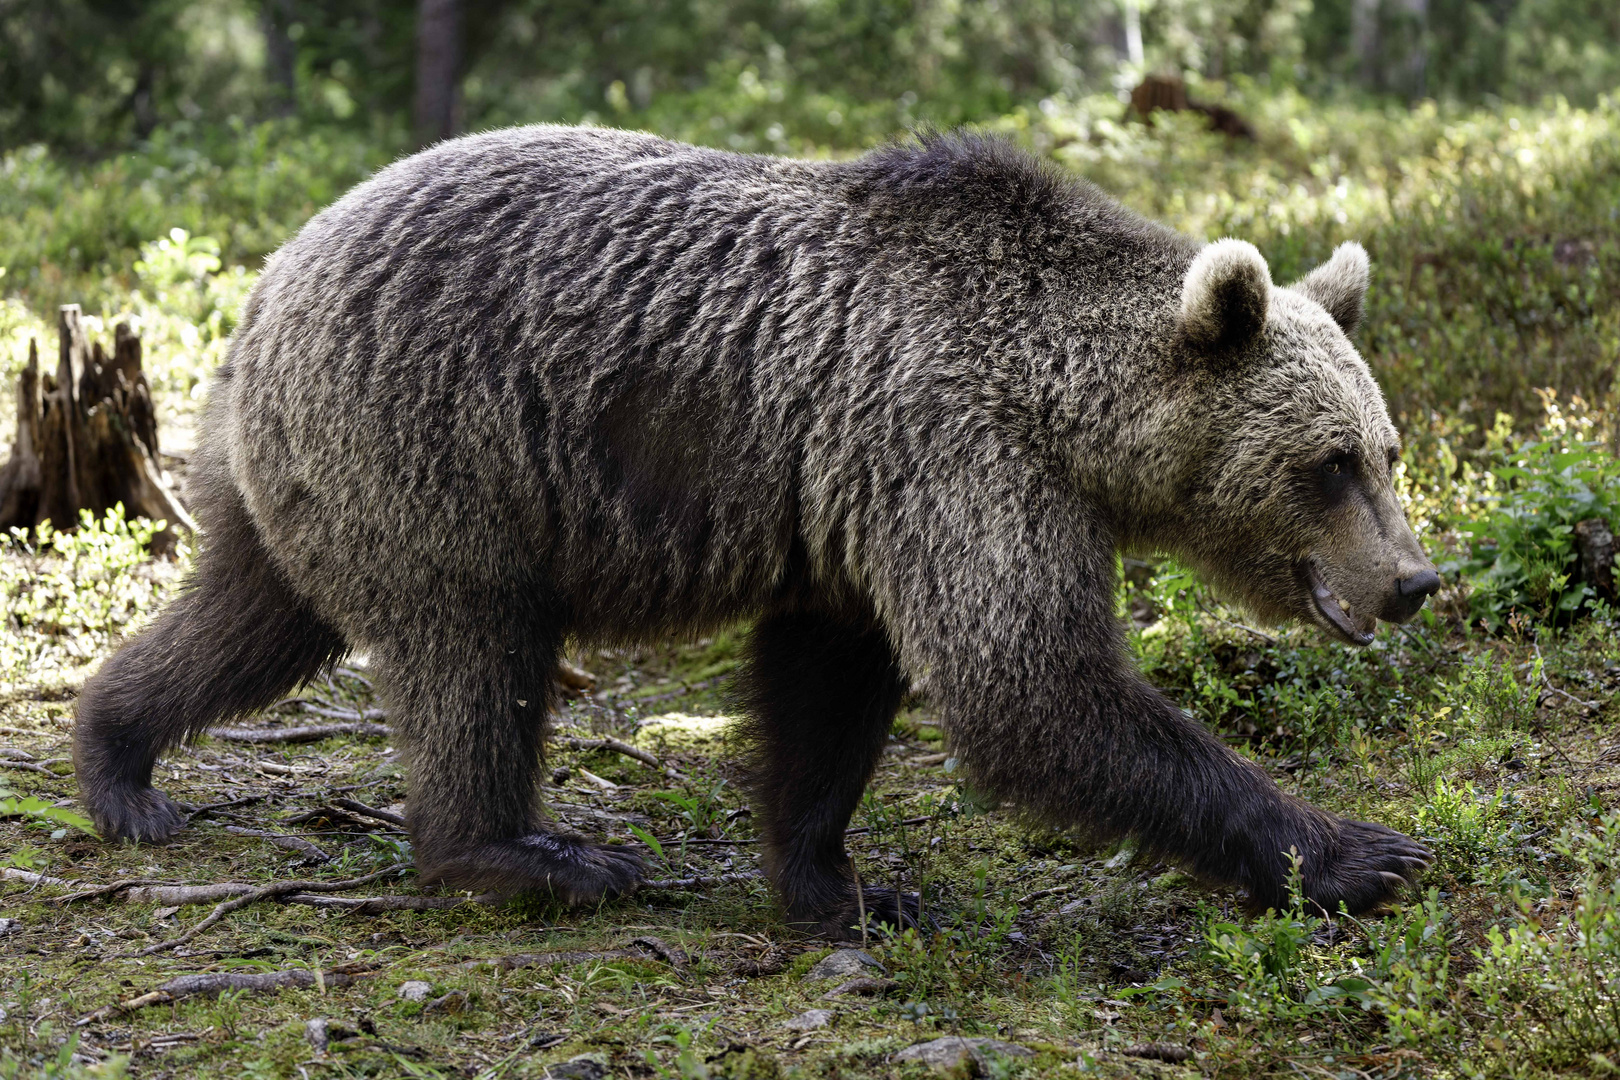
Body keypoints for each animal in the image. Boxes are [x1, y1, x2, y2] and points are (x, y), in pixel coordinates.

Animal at [78, 127, 1432, 939]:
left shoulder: (854, 503)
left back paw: (120, 766)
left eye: (1386, 451)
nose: (1413, 580)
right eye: (1325, 466)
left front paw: (841, 882)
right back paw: (534, 854)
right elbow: (1033, 686)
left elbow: (828, 694)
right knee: (473, 658)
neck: (1061, 404)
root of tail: (267, 281)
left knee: (249, 620)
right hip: (439, 455)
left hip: (309, 479)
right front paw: (1359, 855)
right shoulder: (951, 453)